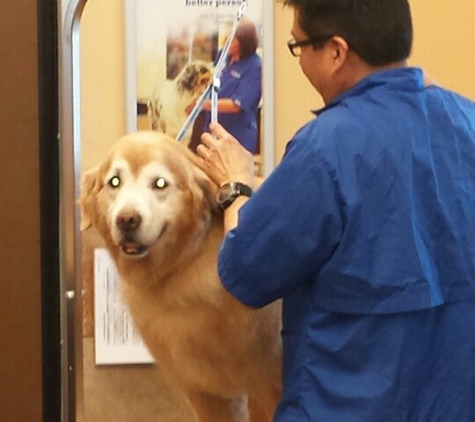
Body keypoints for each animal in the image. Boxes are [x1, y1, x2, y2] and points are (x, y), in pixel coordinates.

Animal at [79, 132, 282, 422]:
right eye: (114, 182)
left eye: (160, 183)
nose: (127, 219)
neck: (185, 264)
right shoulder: (203, 391)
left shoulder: (267, 384)